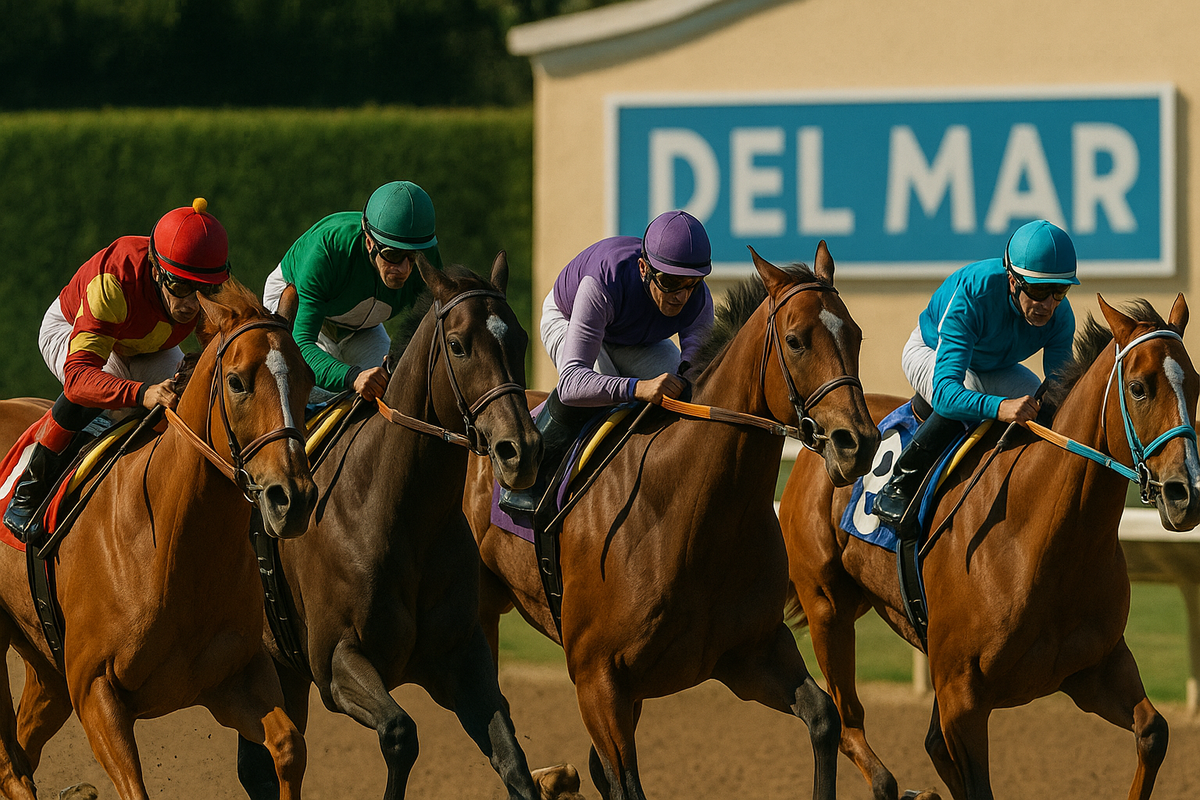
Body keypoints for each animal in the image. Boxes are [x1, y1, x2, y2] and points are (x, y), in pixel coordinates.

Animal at [0, 278, 318, 800]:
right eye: (237, 382)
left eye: (308, 379)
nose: (293, 498)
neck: (168, 548)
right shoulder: (94, 691)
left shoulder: (233, 678)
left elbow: (290, 748)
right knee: (11, 768)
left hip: (45, 665)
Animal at [232, 254, 557, 800]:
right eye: (458, 345)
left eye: (518, 339)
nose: (523, 450)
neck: (400, 515)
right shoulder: (336, 663)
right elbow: (401, 733)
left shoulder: (461, 658)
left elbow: (511, 756)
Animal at [463, 244, 881, 800]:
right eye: (795, 341)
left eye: (855, 334)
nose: (858, 443)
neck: (689, 515)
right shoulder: (598, 681)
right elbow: (622, 780)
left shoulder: (749, 653)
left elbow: (824, 719)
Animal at [778, 295, 1200, 800]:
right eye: (1138, 388)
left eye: (1196, 385)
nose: (1185, 493)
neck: (1042, 541)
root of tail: (820, 438)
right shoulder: (962, 698)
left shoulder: (1093, 668)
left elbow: (1154, 732)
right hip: (828, 607)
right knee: (848, 724)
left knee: (925, 743)